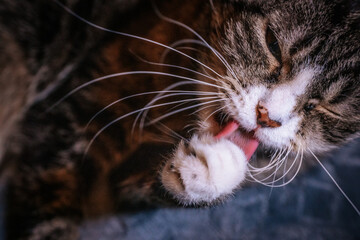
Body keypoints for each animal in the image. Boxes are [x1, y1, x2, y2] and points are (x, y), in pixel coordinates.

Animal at [0, 0, 358, 239]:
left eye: (330, 107)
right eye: (272, 43)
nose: (266, 116)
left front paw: (214, 166)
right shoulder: (78, 108)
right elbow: (51, 203)